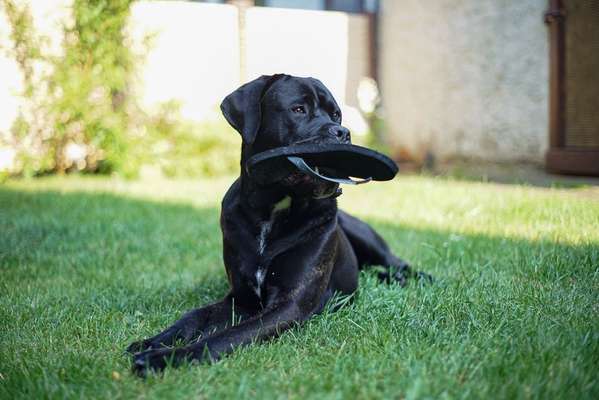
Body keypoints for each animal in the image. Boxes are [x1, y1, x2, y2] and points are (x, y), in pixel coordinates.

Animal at [126, 74, 426, 376]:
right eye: (298, 109)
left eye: (336, 115)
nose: (342, 132)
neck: (272, 210)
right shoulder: (241, 298)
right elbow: (195, 316)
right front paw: (153, 341)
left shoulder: (289, 304)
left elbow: (227, 335)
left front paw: (165, 358)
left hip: (365, 236)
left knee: (397, 263)